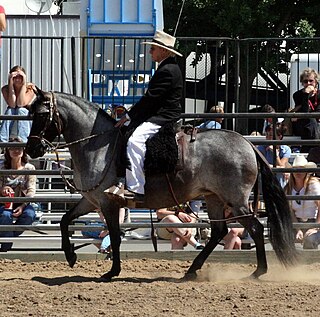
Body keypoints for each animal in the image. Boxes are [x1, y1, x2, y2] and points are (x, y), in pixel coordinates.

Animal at [25, 88, 298, 278]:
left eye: (42, 115)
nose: (31, 149)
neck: (99, 145)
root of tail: (248, 143)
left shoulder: (109, 203)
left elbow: (115, 236)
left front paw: (112, 272)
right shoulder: (92, 200)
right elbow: (64, 220)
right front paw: (71, 255)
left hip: (236, 200)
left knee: (256, 228)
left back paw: (258, 271)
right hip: (213, 198)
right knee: (219, 232)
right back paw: (192, 269)